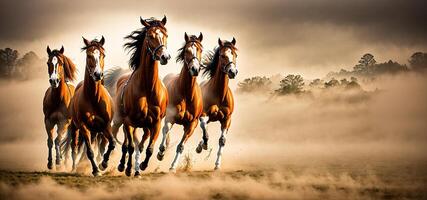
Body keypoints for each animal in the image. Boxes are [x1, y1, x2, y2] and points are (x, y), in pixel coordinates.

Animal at [69, 36, 116, 176]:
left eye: (103, 55)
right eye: (88, 55)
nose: (97, 74)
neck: (94, 98)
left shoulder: (105, 126)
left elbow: (112, 144)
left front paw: (103, 164)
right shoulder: (84, 127)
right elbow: (89, 151)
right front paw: (96, 170)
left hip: (95, 130)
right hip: (75, 128)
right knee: (74, 147)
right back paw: (74, 168)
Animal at [103, 16, 171, 177]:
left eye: (165, 35)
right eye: (150, 36)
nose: (165, 57)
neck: (147, 88)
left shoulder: (156, 123)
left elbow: (149, 148)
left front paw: (143, 166)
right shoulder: (129, 121)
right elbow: (129, 147)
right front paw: (127, 168)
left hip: (143, 127)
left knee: (136, 144)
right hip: (120, 121)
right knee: (121, 142)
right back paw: (112, 164)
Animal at [157, 32, 204, 170]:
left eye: (200, 50)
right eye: (187, 50)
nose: (195, 69)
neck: (186, 94)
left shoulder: (192, 124)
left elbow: (181, 146)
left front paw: (173, 167)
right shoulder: (170, 117)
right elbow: (166, 130)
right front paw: (161, 152)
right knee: (164, 131)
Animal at [196, 36, 239, 170]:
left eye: (235, 54)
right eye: (222, 55)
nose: (232, 72)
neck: (219, 95)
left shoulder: (227, 119)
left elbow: (222, 140)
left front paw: (217, 165)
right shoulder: (204, 115)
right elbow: (204, 130)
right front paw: (202, 146)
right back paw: (200, 146)